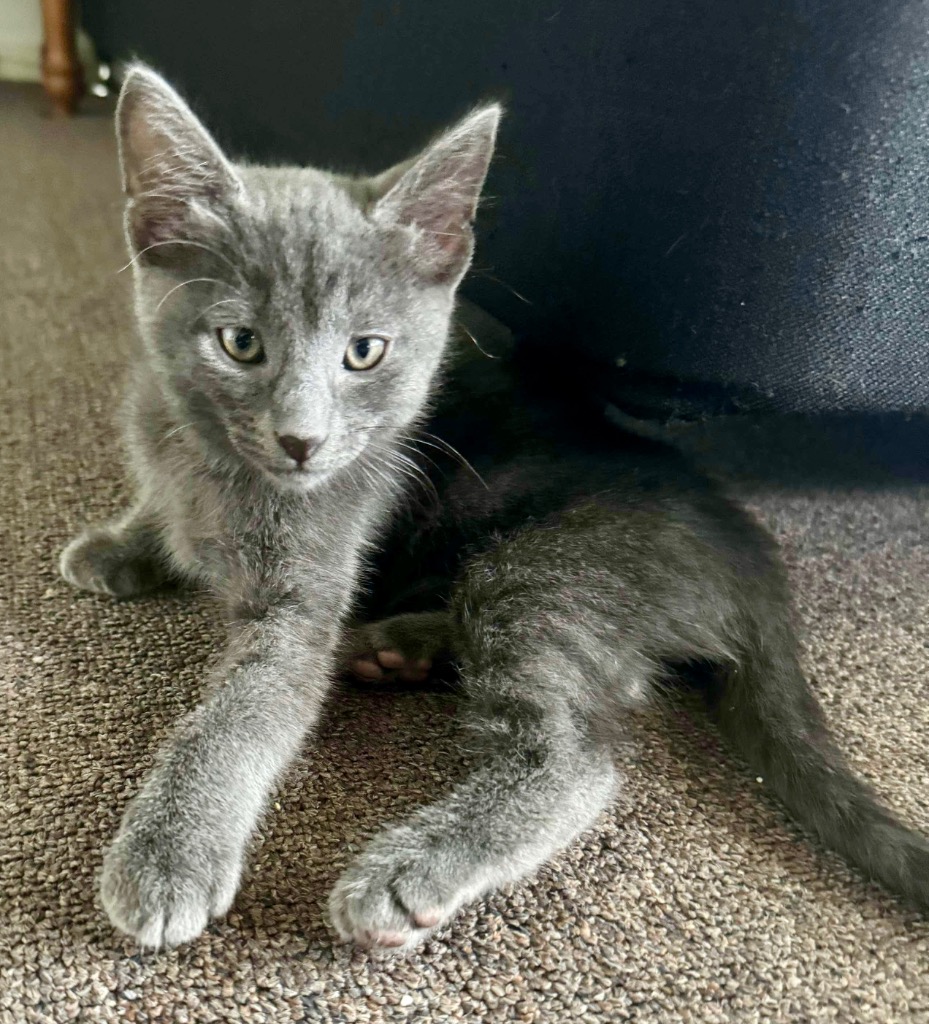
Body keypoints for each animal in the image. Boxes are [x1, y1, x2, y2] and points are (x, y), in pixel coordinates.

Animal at [60, 64, 929, 952]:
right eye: (240, 344)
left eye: (364, 352)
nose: (303, 440)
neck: (211, 460)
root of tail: (744, 540)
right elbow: (160, 512)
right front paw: (124, 543)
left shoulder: (303, 595)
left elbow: (247, 708)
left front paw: (170, 852)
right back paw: (391, 648)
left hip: (549, 571)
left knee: (574, 756)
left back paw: (408, 868)